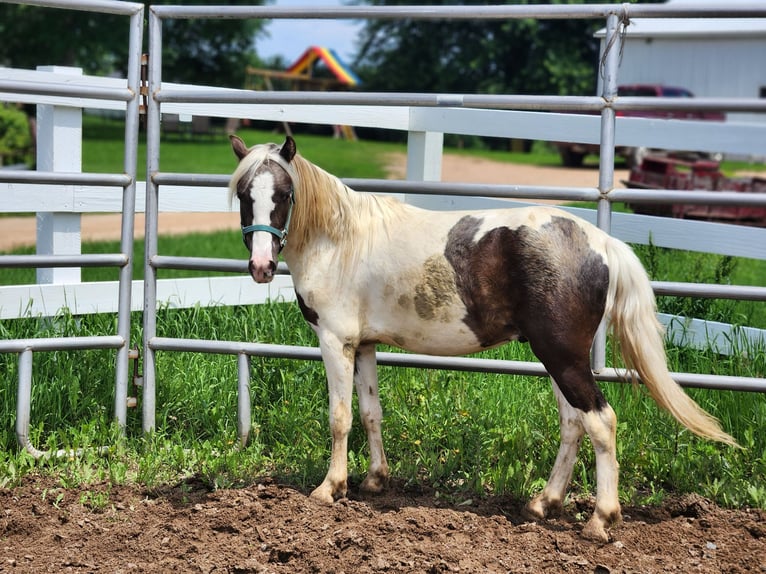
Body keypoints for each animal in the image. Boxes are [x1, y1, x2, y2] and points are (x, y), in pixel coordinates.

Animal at [228, 136, 736, 544]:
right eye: (243, 194)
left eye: (284, 194)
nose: (260, 267)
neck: (339, 241)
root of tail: (600, 243)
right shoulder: (366, 345)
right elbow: (371, 412)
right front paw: (374, 481)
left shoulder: (336, 342)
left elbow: (340, 418)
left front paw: (329, 489)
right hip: (557, 359)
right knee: (573, 424)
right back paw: (543, 503)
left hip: (561, 356)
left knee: (600, 421)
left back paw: (600, 521)